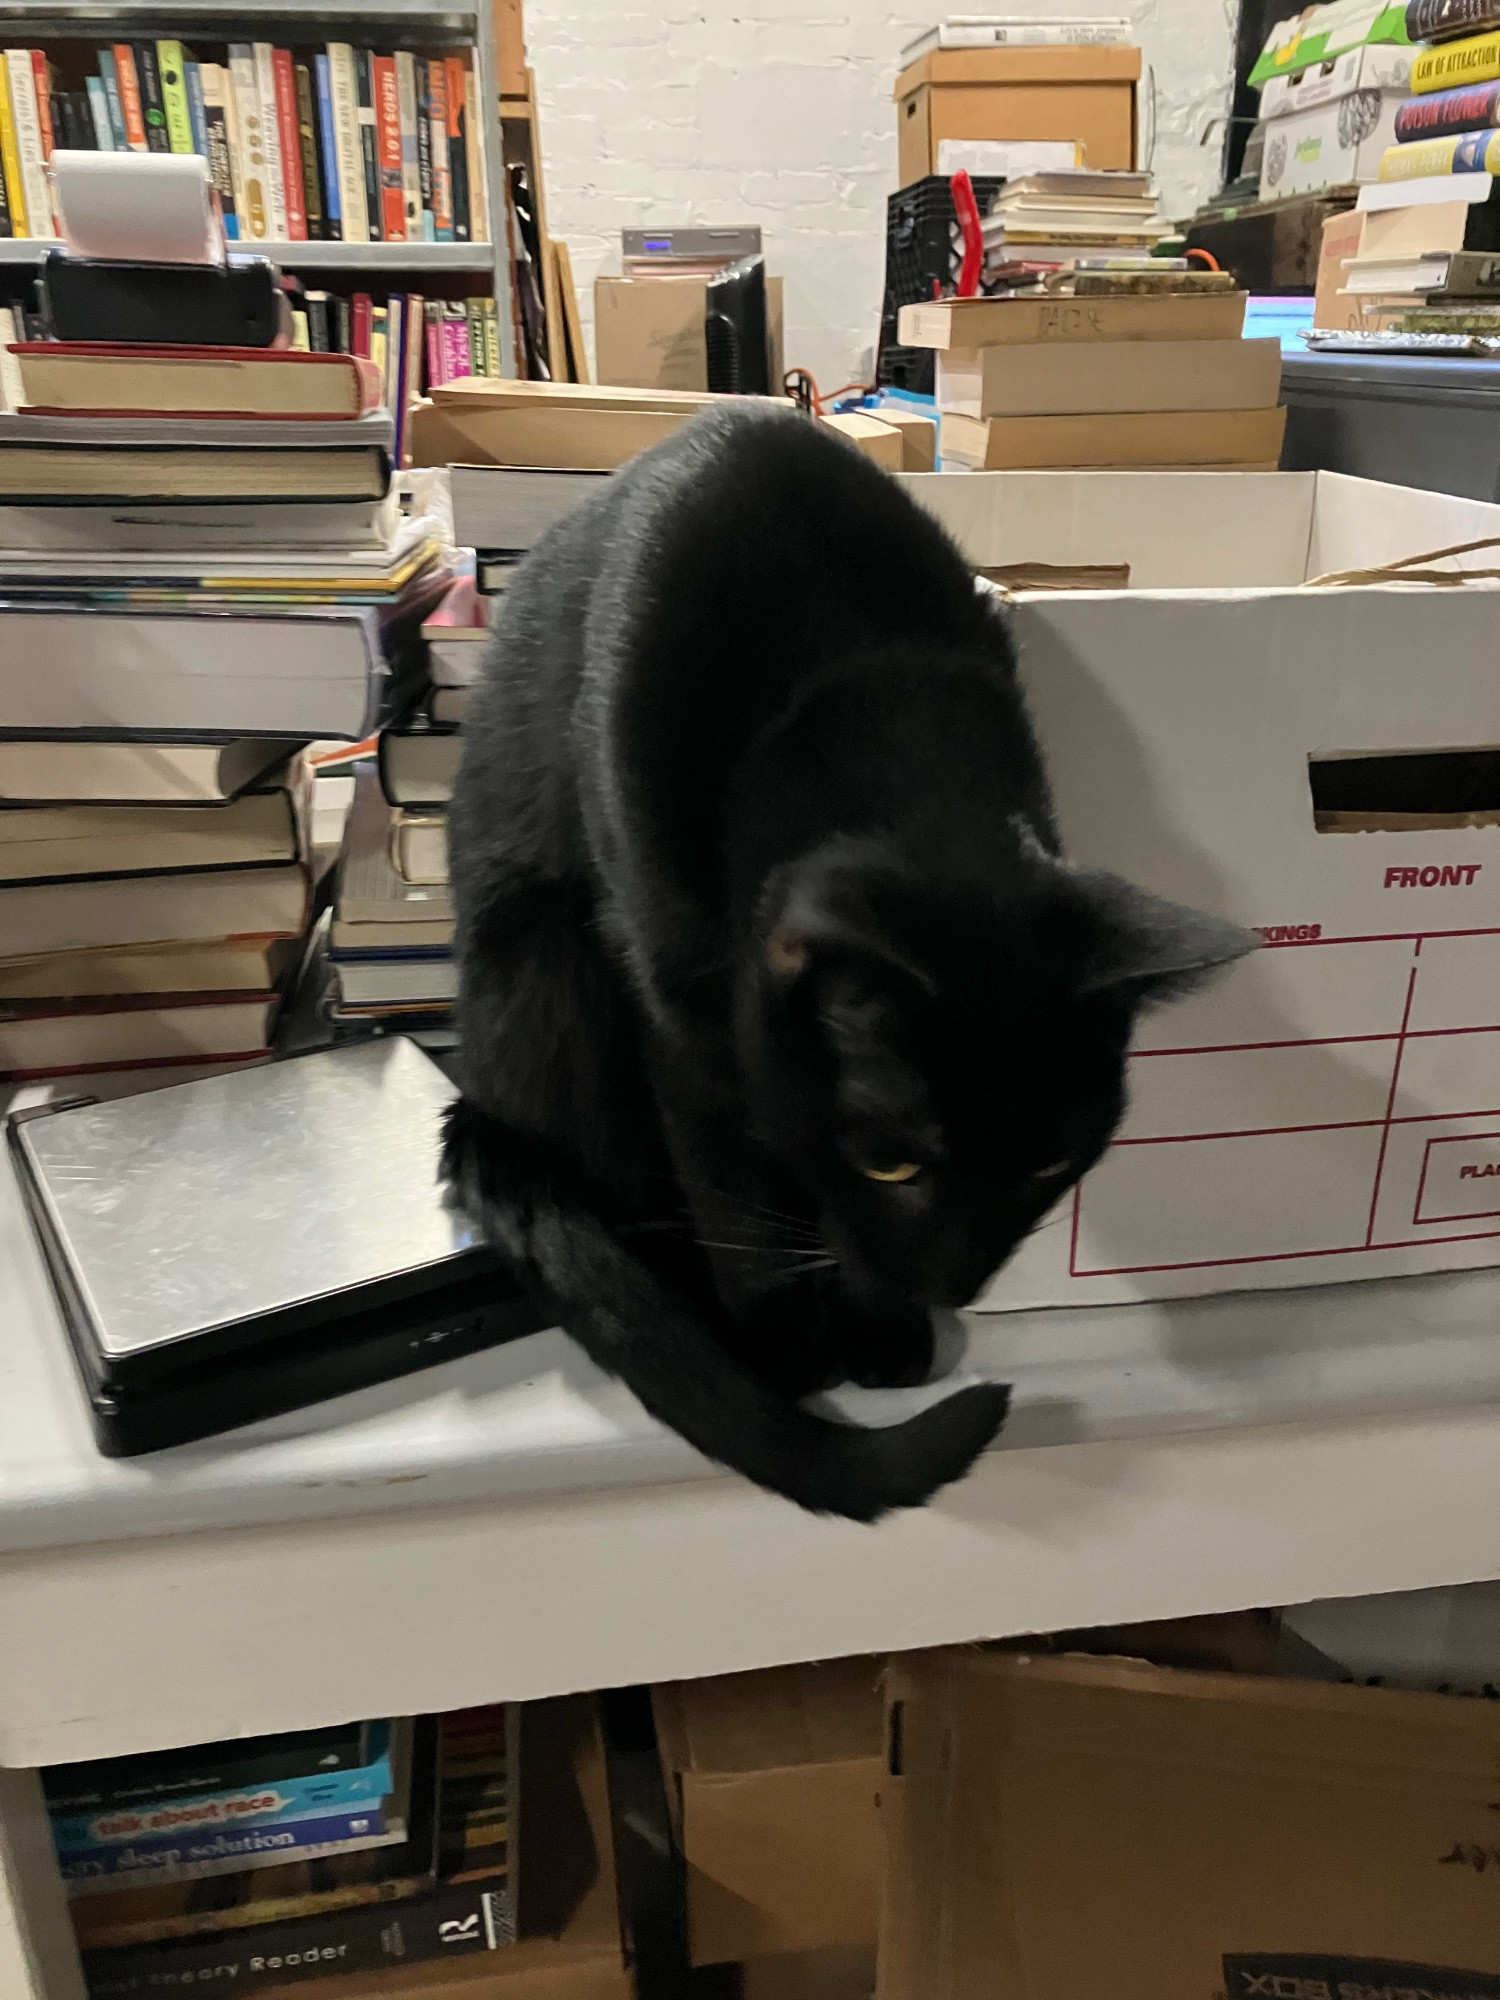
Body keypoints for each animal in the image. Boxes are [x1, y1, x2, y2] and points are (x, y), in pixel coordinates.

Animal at [444, 402, 1256, 1512]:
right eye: (893, 1159)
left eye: (1050, 1161)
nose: (955, 1282)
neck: (860, 689)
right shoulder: (684, 1015)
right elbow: (741, 1199)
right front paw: (792, 1346)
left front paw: (879, 1324)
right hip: (547, 964)